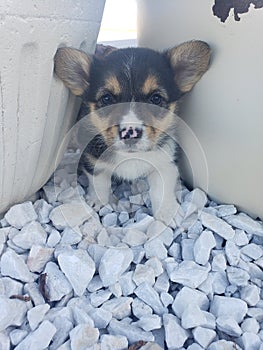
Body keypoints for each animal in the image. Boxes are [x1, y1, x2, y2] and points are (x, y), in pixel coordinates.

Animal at [54, 41, 211, 226]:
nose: (130, 132)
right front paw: (99, 201)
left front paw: (168, 212)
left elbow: (162, 189)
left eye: (156, 98)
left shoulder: (165, 162)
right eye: (107, 99)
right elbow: (99, 182)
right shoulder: (92, 159)